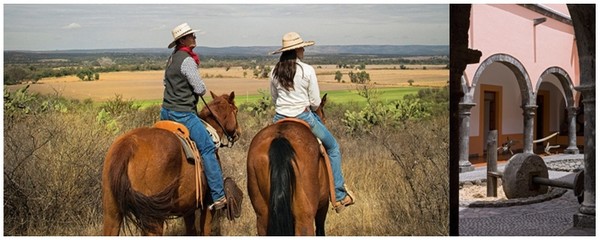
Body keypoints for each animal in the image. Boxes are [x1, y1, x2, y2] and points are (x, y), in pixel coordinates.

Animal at [102, 91, 240, 235]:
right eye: (236, 110)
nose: (238, 132)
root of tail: (129, 144)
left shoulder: (188, 209)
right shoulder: (208, 205)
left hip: (112, 213)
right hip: (154, 218)